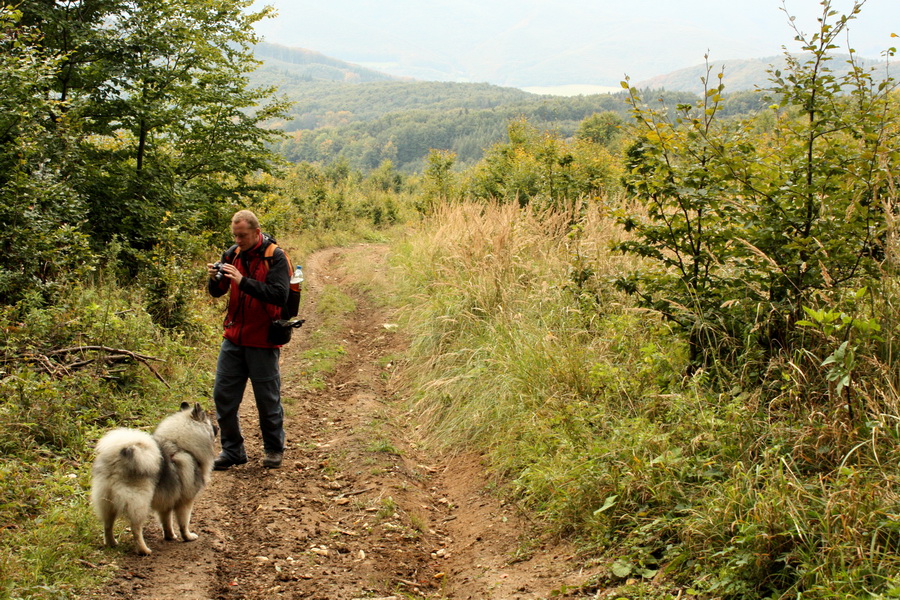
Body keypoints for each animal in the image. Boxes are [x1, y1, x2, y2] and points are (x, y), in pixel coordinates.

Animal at [90, 400, 218, 556]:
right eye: (209, 423)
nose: (218, 427)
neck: (182, 447)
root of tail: (119, 457)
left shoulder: (167, 500)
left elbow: (167, 521)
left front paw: (170, 536)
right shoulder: (186, 501)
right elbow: (183, 522)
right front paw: (187, 536)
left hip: (107, 502)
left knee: (107, 525)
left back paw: (111, 543)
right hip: (139, 503)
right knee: (136, 529)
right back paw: (143, 550)